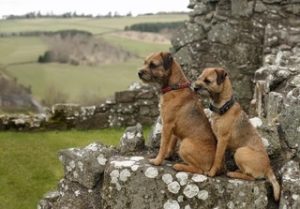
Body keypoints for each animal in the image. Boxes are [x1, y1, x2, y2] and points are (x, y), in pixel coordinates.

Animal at [195, 67, 282, 201]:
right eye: (199, 78)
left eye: (207, 81)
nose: (194, 87)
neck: (224, 106)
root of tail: (268, 168)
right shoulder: (219, 140)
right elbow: (221, 157)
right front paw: (220, 169)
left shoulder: (222, 139)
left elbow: (217, 157)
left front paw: (212, 172)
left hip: (240, 152)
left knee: (252, 178)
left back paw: (233, 173)